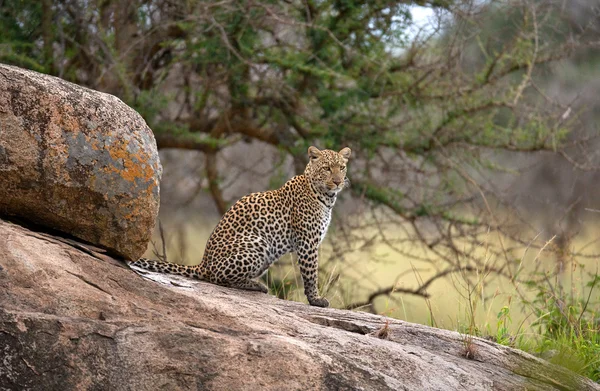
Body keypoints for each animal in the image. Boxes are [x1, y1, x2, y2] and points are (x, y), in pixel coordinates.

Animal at [129, 145, 350, 308]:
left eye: (341, 167)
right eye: (327, 168)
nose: (338, 181)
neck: (326, 196)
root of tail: (203, 263)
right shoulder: (307, 242)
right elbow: (311, 273)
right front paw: (316, 300)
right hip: (258, 243)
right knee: (218, 277)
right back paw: (256, 286)